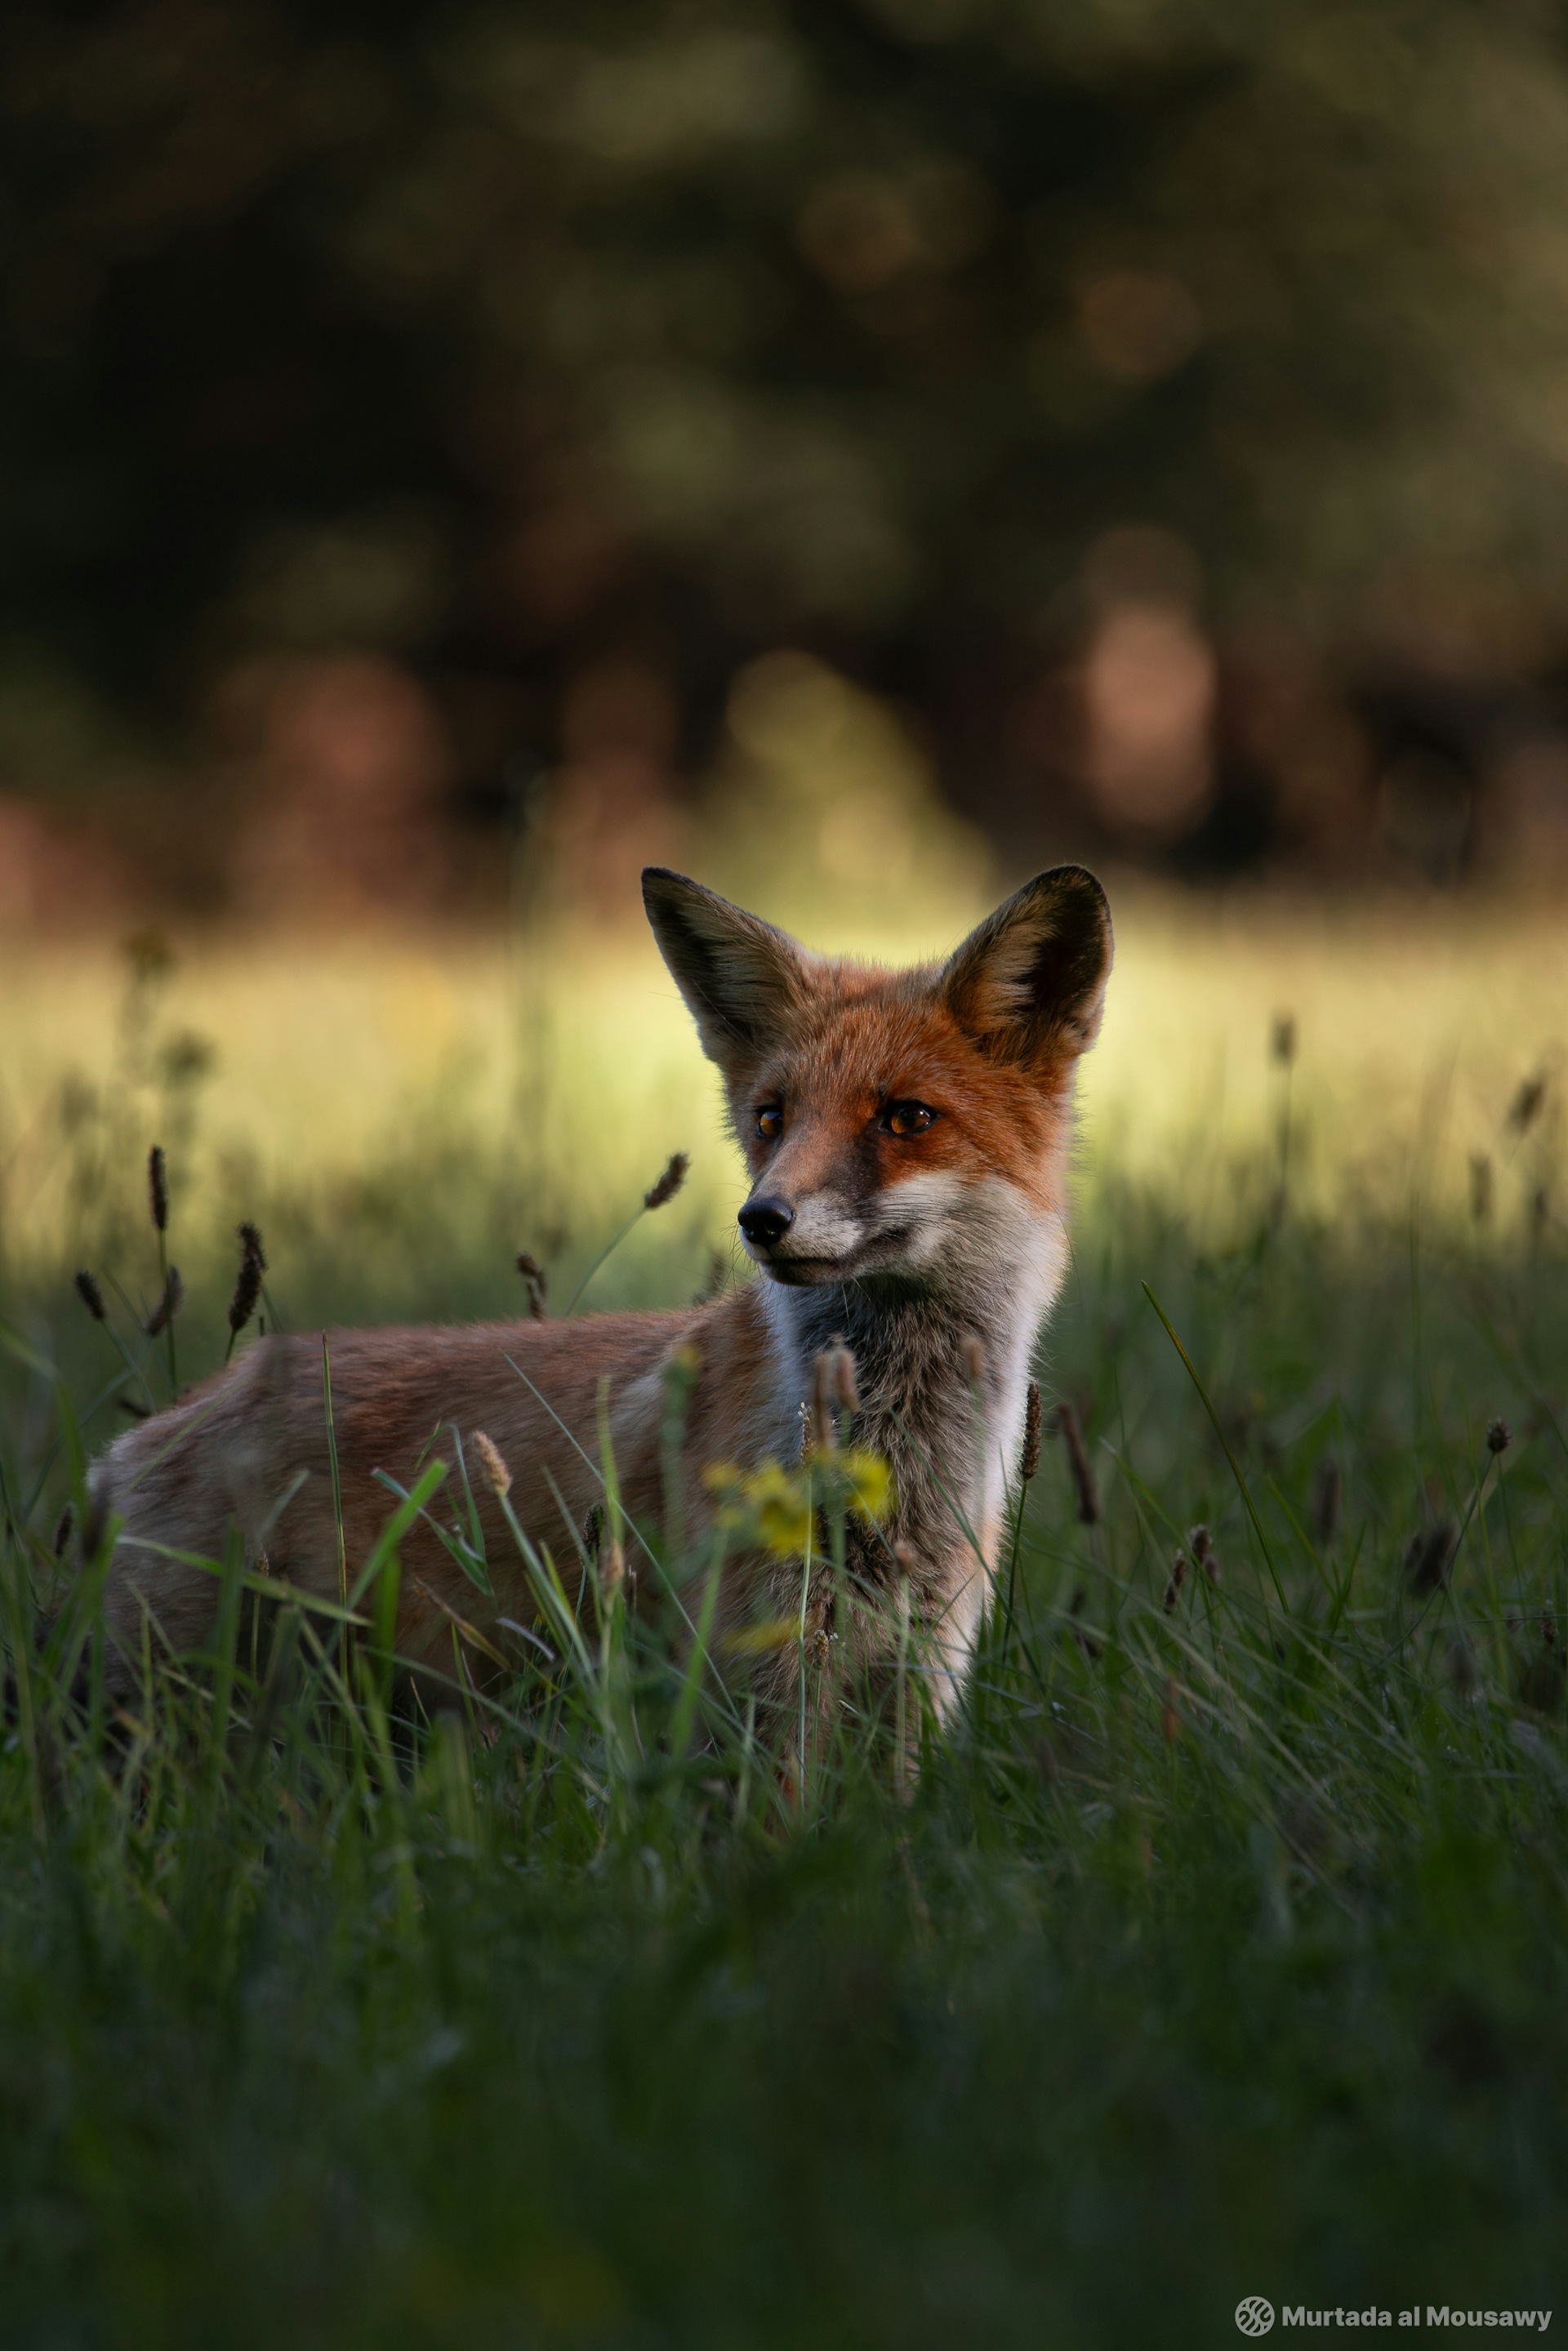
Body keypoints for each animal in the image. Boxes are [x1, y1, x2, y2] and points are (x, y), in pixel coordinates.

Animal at [82, 865, 1114, 1730]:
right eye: (771, 1117)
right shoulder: (769, 1664)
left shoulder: (926, 1659)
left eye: (907, 1117)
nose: (761, 1217)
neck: (897, 1461)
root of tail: (159, 1426)